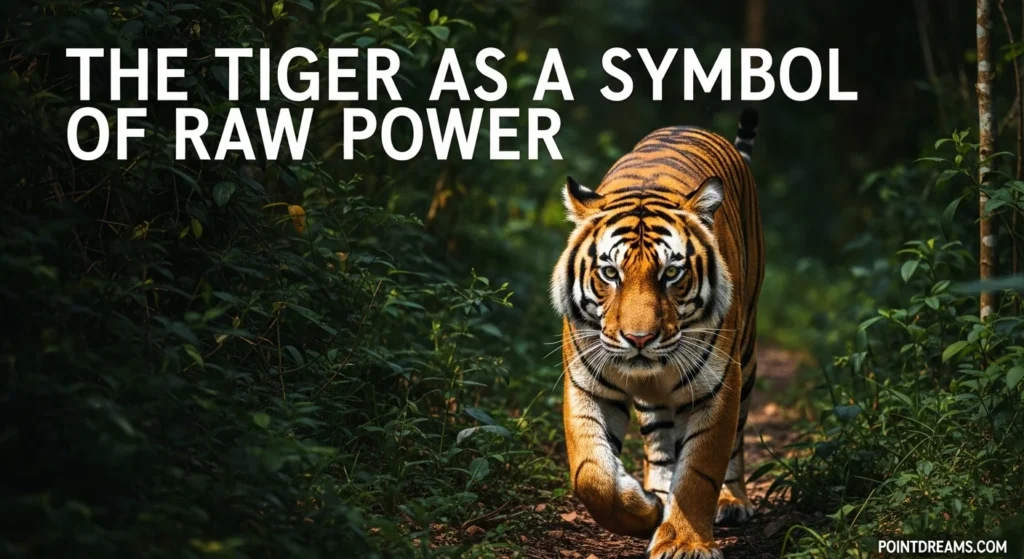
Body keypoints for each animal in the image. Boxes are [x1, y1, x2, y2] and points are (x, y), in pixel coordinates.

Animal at [550, 109, 763, 559]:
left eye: (672, 273)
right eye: (610, 273)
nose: (639, 339)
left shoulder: (717, 386)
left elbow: (700, 470)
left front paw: (684, 541)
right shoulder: (587, 383)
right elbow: (591, 474)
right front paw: (645, 510)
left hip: (748, 357)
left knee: (735, 442)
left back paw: (731, 502)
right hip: (656, 400)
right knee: (661, 443)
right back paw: (659, 495)